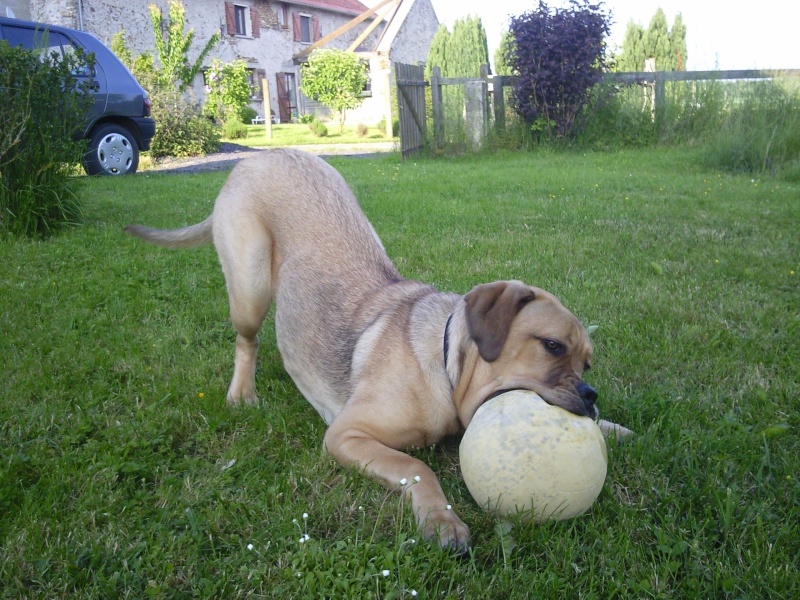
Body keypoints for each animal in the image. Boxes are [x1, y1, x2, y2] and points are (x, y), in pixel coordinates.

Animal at [125, 150, 600, 552]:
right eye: (552, 346)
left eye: (588, 363)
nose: (592, 396)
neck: (442, 364)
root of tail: (262, 155)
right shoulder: (347, 435)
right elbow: (417, 468)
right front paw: (442, 521)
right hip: (249, 287)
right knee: (247, 340)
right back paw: (242, 393)